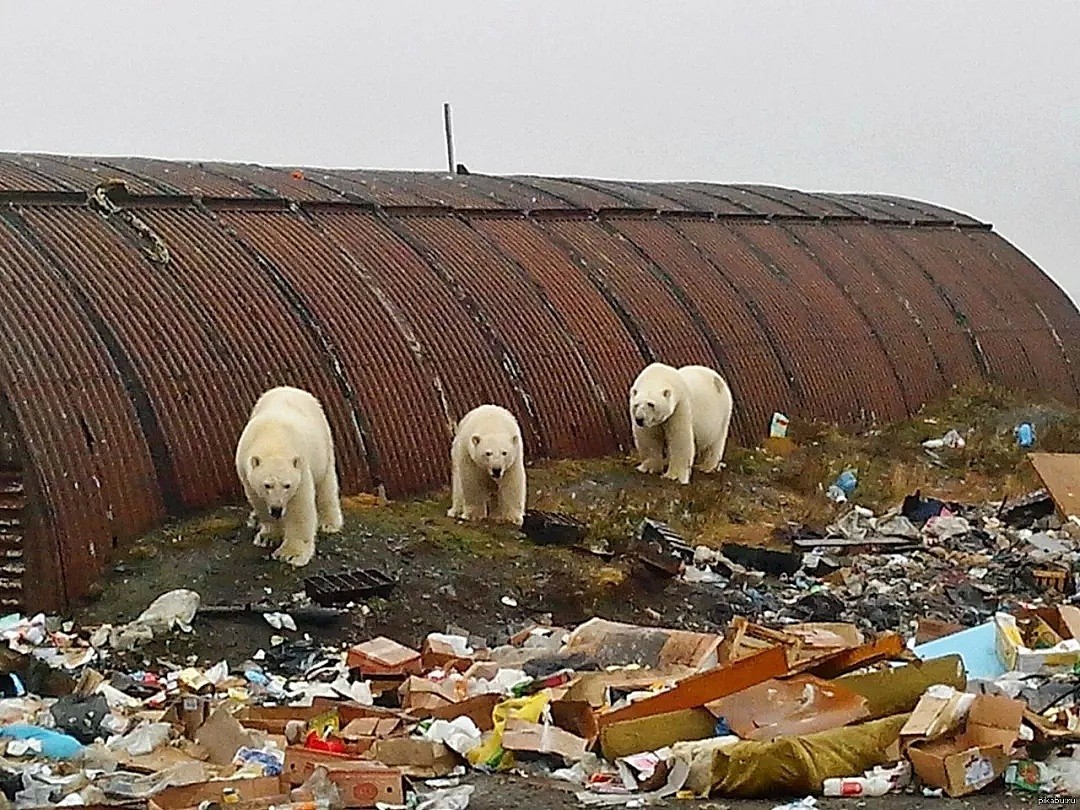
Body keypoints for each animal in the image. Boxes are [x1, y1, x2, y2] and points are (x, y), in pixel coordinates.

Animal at [235, 384, 341, 565]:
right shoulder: (246, 471)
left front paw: (291, 554)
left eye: (287, 485)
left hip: (323, 444)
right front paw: (267, 536)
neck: (273, 439)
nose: (277, 509)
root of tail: (291, 388)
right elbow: (259, 501)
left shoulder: (301, 467)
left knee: (326, 483)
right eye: (267, 485)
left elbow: (299, 507)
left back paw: (330, 523)